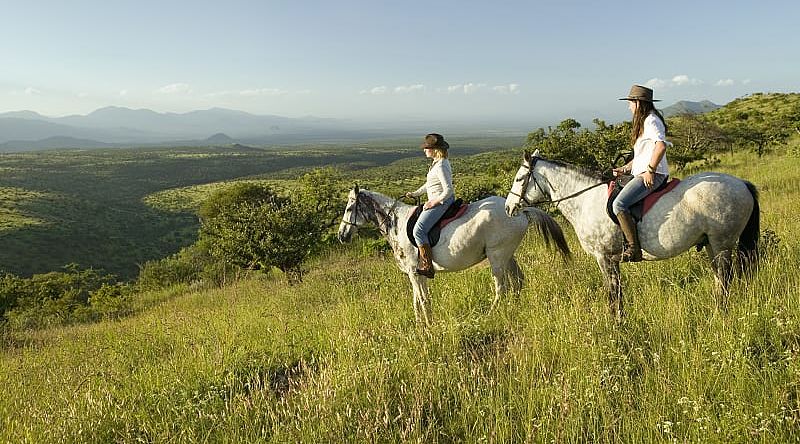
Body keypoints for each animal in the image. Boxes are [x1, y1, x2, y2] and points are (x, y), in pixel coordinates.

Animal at [336, 186, 568, 324]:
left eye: (349, 207)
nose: (341, 235)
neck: (397, 224)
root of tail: (519, 212)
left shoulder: (414, 272)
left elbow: (422, 300)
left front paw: (428, 325)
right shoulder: (416, 275)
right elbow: (418, 300)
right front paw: (420, 324)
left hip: (497, 257)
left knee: (502, 287)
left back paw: (491, 314)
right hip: (507, 255)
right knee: (517, 281)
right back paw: (513, 308)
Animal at [506, 150, 764, 320]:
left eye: (519, 179)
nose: (509, 208)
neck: (585, 199)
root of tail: (742, 183)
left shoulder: (604, 258)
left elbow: (612, 293)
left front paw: (616, 324)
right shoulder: (611, 260)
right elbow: (617, 292)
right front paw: (620, 321)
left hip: (722, 243)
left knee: (725, 277)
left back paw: (721, 313)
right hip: (712, 244)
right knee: (720, 278)